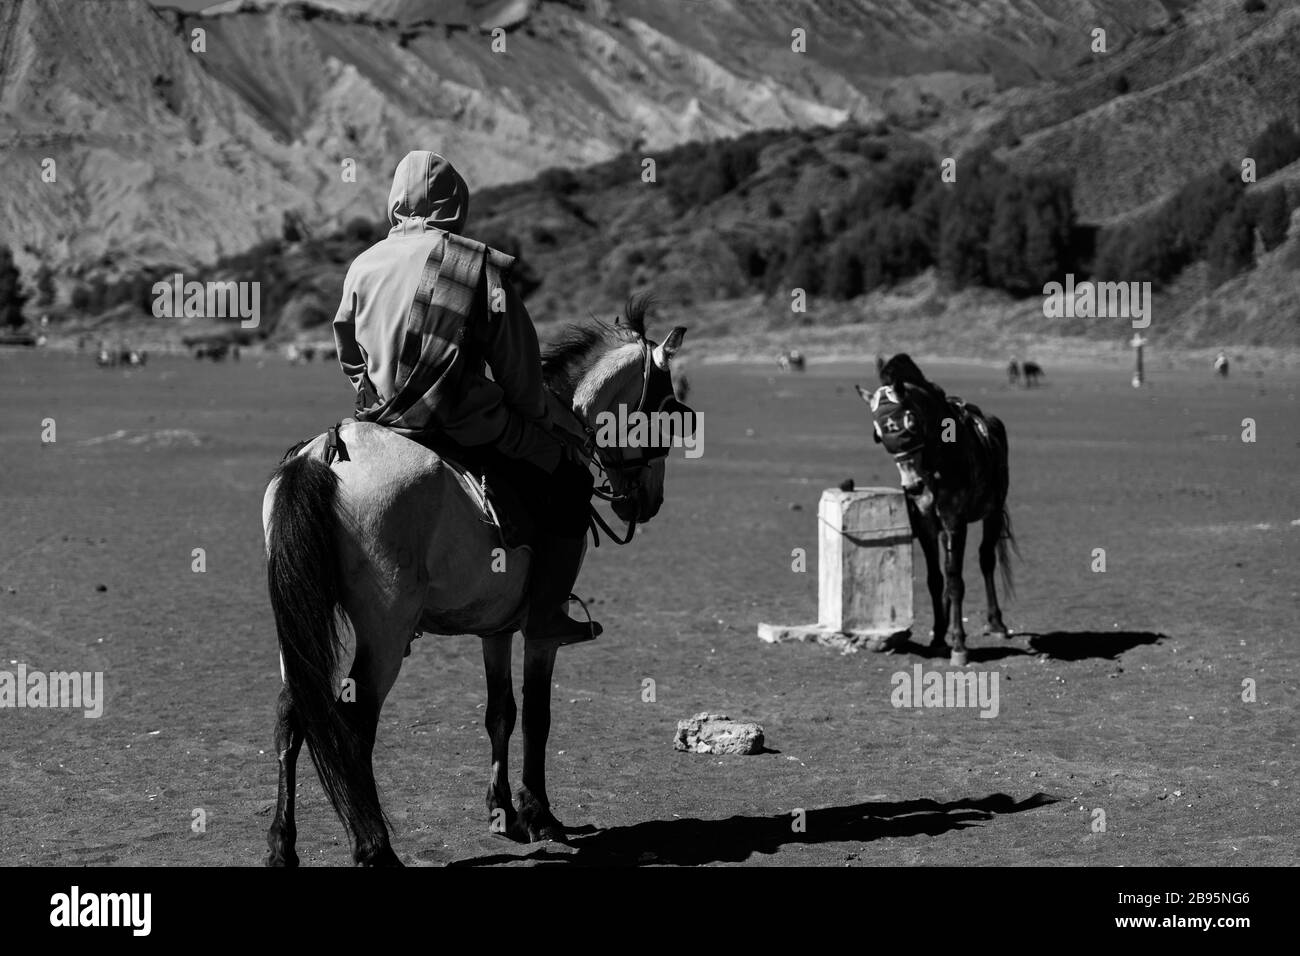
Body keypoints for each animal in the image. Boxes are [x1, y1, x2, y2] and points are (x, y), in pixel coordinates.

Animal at [262, 300, 691, 868]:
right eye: (668, 407)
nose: (650, 500)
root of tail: (326, 452)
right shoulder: (540, 630)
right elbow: (537, 715)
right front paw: (539, 814)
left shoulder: (496, 628)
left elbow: (500, 714)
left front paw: (502, 811)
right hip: (384, 633)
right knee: (353, 724)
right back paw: (374, 847)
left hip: (297, 623)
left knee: (292, 716)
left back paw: (281, 846)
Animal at [857, 356, 1019, 665]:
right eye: (878, 433)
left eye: (910, 422)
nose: (913, 485)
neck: (936, 460)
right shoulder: (925, 524)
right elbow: (935, 579)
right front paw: (938, 638)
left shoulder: (955, 521)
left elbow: (955, 580)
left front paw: (959, 645)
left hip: (992, 512)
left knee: (985, 560)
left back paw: (996, 623)